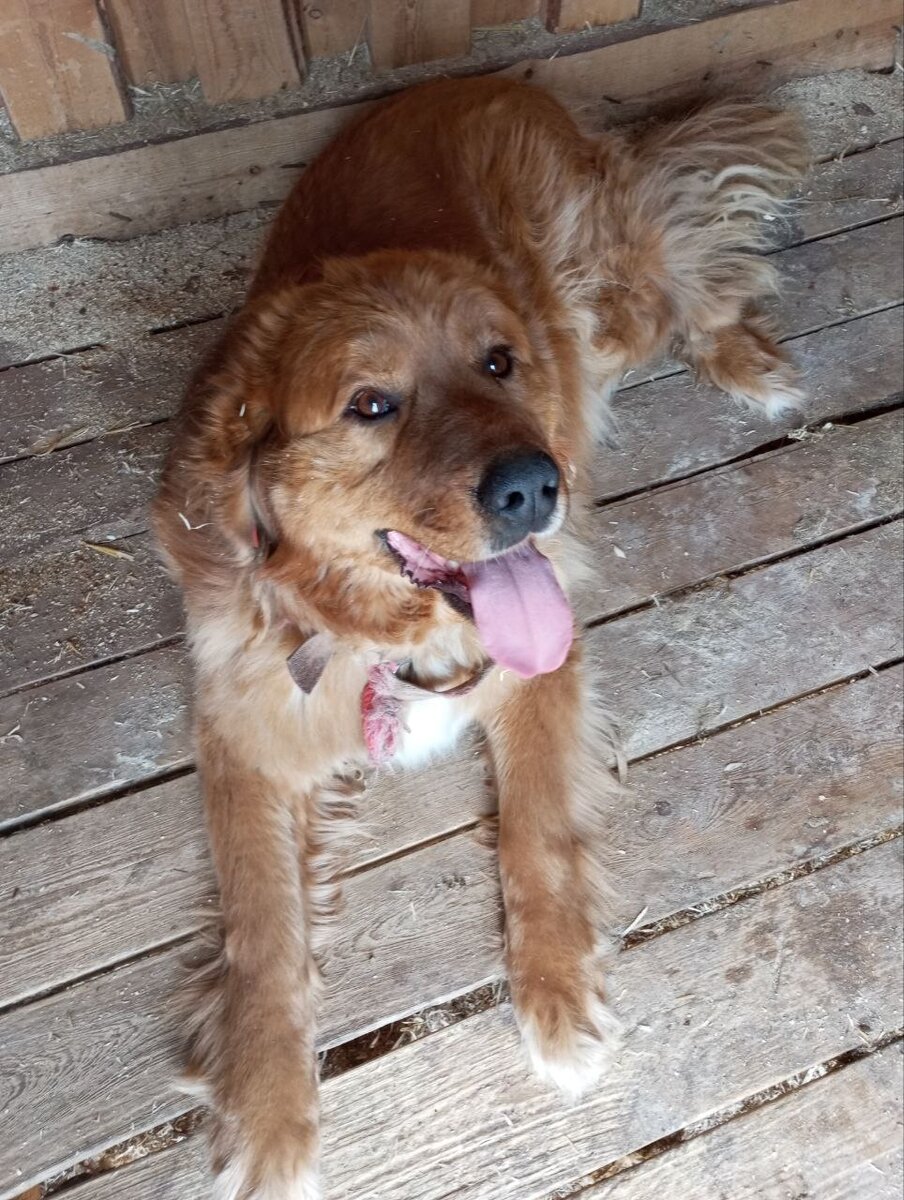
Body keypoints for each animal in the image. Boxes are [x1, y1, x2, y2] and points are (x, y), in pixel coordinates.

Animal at [151, 77, 806, 1200]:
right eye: (371, 405)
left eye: (498, 364)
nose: (537, 487)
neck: (372, 626)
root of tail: (497, 79)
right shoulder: (241, 731)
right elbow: (262, 926)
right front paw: (270, 1115)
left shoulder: (540, 666)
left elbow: (534, 833)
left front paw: (556, 998)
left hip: (604, 313)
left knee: (685, 260)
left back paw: (744, 356)